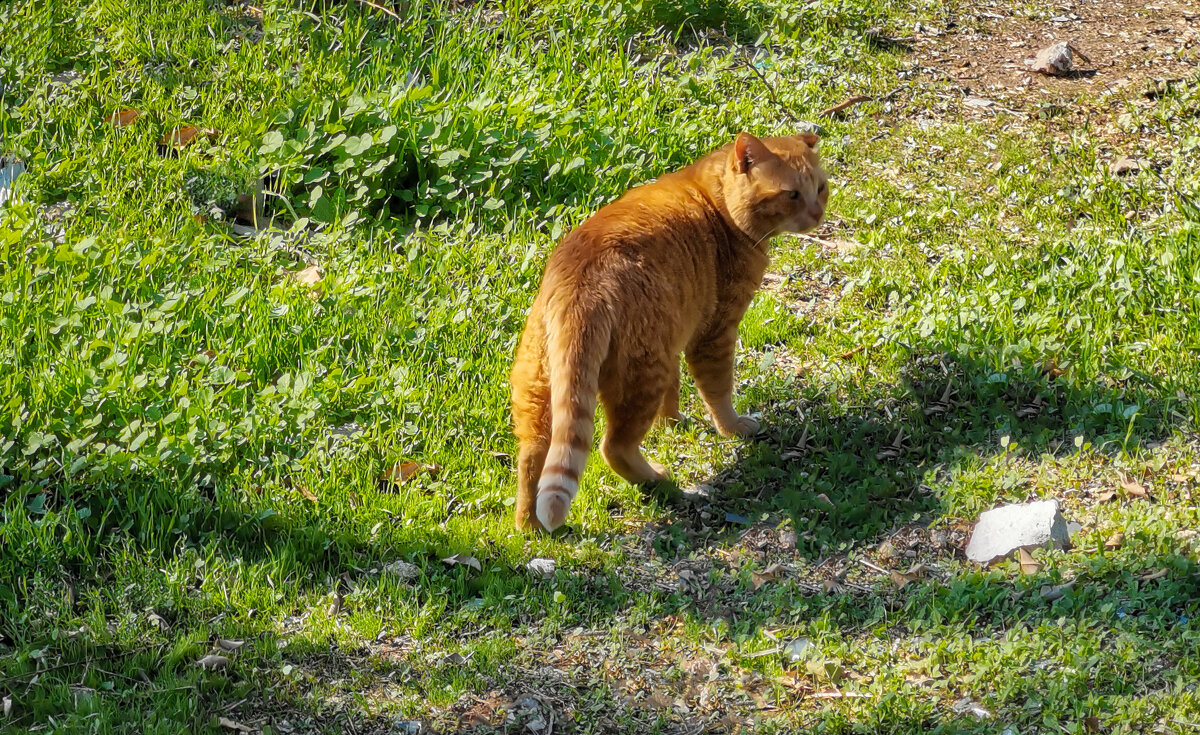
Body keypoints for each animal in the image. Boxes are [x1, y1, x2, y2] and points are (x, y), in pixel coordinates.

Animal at [506, 132, 825, 530]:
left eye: (821, 188)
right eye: (792, 194)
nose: (818, 212)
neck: (717, 203)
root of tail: (579, 282)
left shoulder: (677, 334)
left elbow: (673, 396)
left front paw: (673, 423)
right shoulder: (714, 333)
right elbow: (719, 392)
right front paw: (733, 428)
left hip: (540, 387)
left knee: (534, 454)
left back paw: (530, 525)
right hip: (642, 374)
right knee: (613, 447)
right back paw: (661, 481)